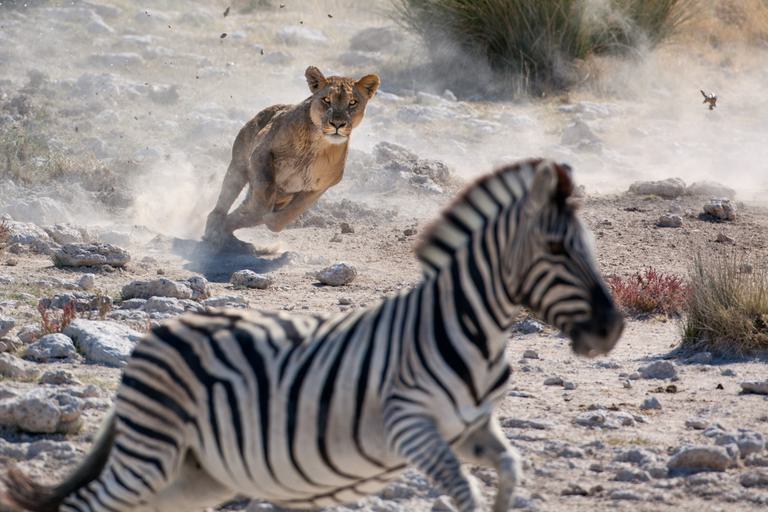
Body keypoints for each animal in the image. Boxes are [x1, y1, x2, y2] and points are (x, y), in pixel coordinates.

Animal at [1, 158, 624, 512]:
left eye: (589, 244)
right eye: (555, 249)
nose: (613, 328)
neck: (469, 329)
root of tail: (158, 335)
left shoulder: (472, 428)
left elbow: (510, 469)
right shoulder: (409, 426)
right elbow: (464, 492)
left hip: (196, 473)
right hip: (151, 455)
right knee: (89, 504)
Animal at [203, 66, 380, 249]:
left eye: (352, 102)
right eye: (326, 100)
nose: (337, 124)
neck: (317, 144)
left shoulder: (320, 186)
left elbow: (287, 216)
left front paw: (267, 219)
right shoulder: (261, 152)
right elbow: (262, 196)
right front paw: (252, 213)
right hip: (238, 166)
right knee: (223, 203)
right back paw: (216, 230)